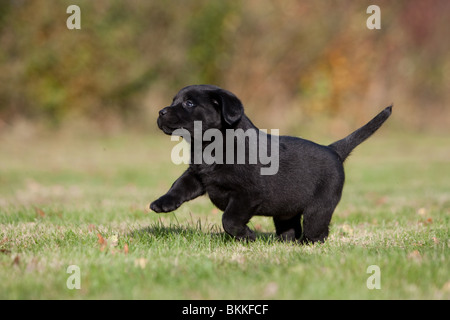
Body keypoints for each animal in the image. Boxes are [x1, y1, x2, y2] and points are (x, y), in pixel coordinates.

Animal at [150, 84, 390, 242]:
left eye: (189, 103)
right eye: (173, 101)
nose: (160, 111)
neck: (210, 146)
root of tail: (332, 149)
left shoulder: (248, 194)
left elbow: (229, 219)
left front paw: (247, 236)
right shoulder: (198, 176)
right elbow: (179, 186)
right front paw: (163, 202)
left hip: (320, 207)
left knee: (317, 229)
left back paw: (309, 244)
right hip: (286, 212)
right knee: (290, 229)